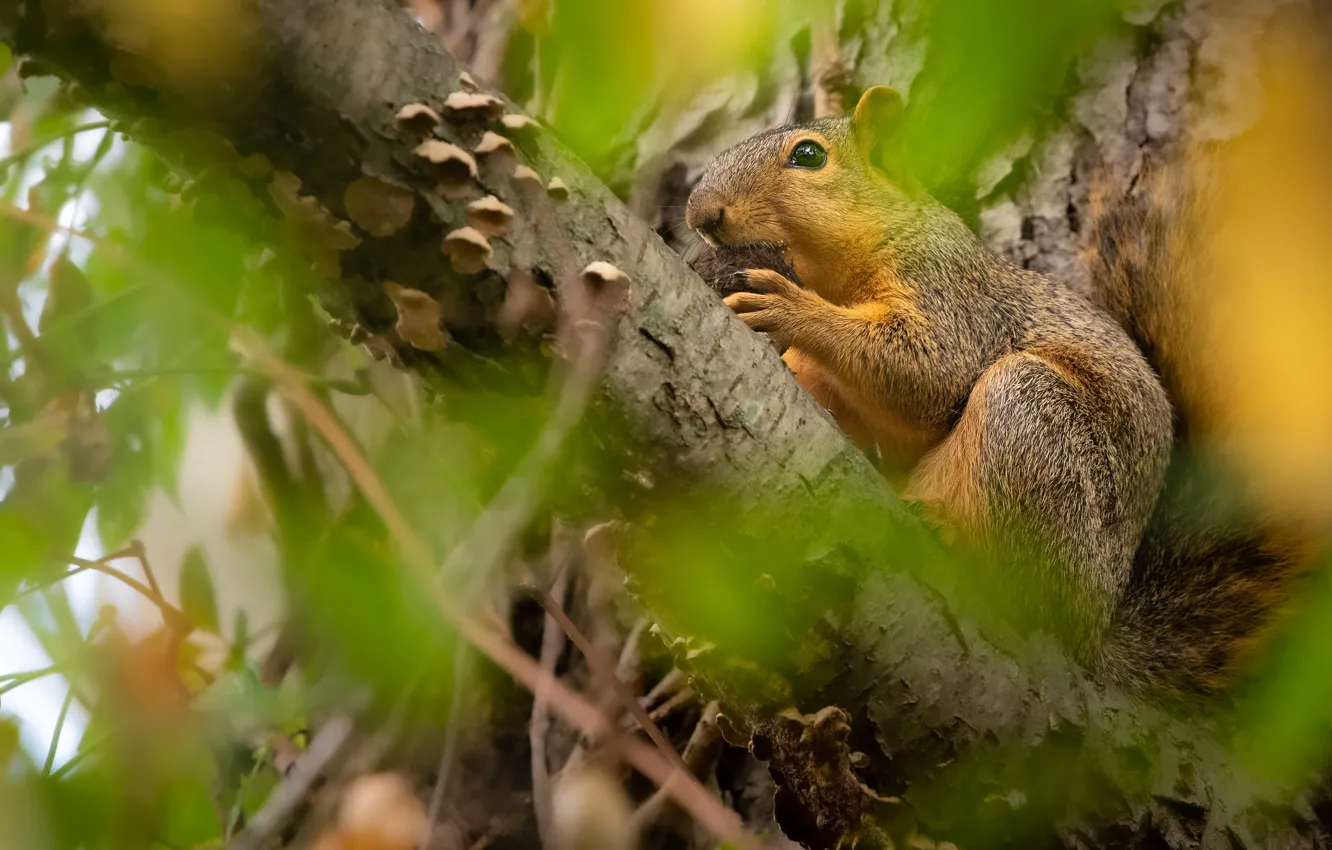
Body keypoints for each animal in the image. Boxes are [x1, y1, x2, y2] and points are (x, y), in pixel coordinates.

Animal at [683, 86, 1307, 701]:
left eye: (808, 155)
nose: (699, 213)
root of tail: (1096, 626)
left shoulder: (951, 295)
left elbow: (928, 374)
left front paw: (789, 308)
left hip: (1032, 417)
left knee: (1029, 593)